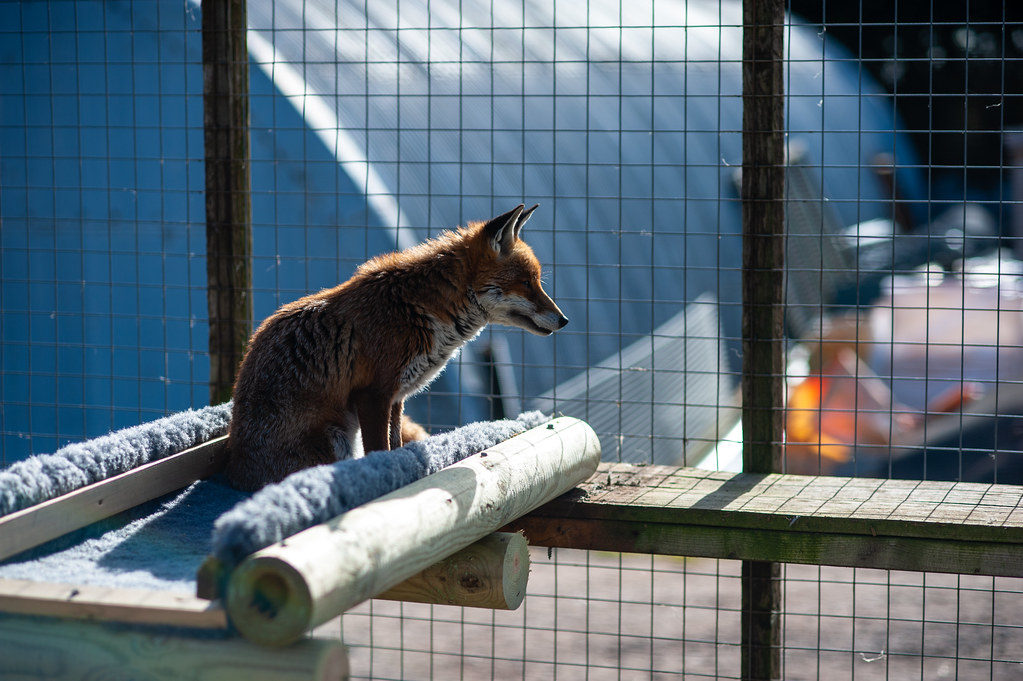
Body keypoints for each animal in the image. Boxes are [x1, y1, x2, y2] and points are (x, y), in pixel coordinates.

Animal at [223, 201, 568, 488]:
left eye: (538, 282)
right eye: (527, 283)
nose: (564, 320)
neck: (420, 310)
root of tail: (234, 476)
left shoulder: (396, 398)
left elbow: (396, 447)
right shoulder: (372, 395)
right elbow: (380, 452)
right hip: (335, 439)